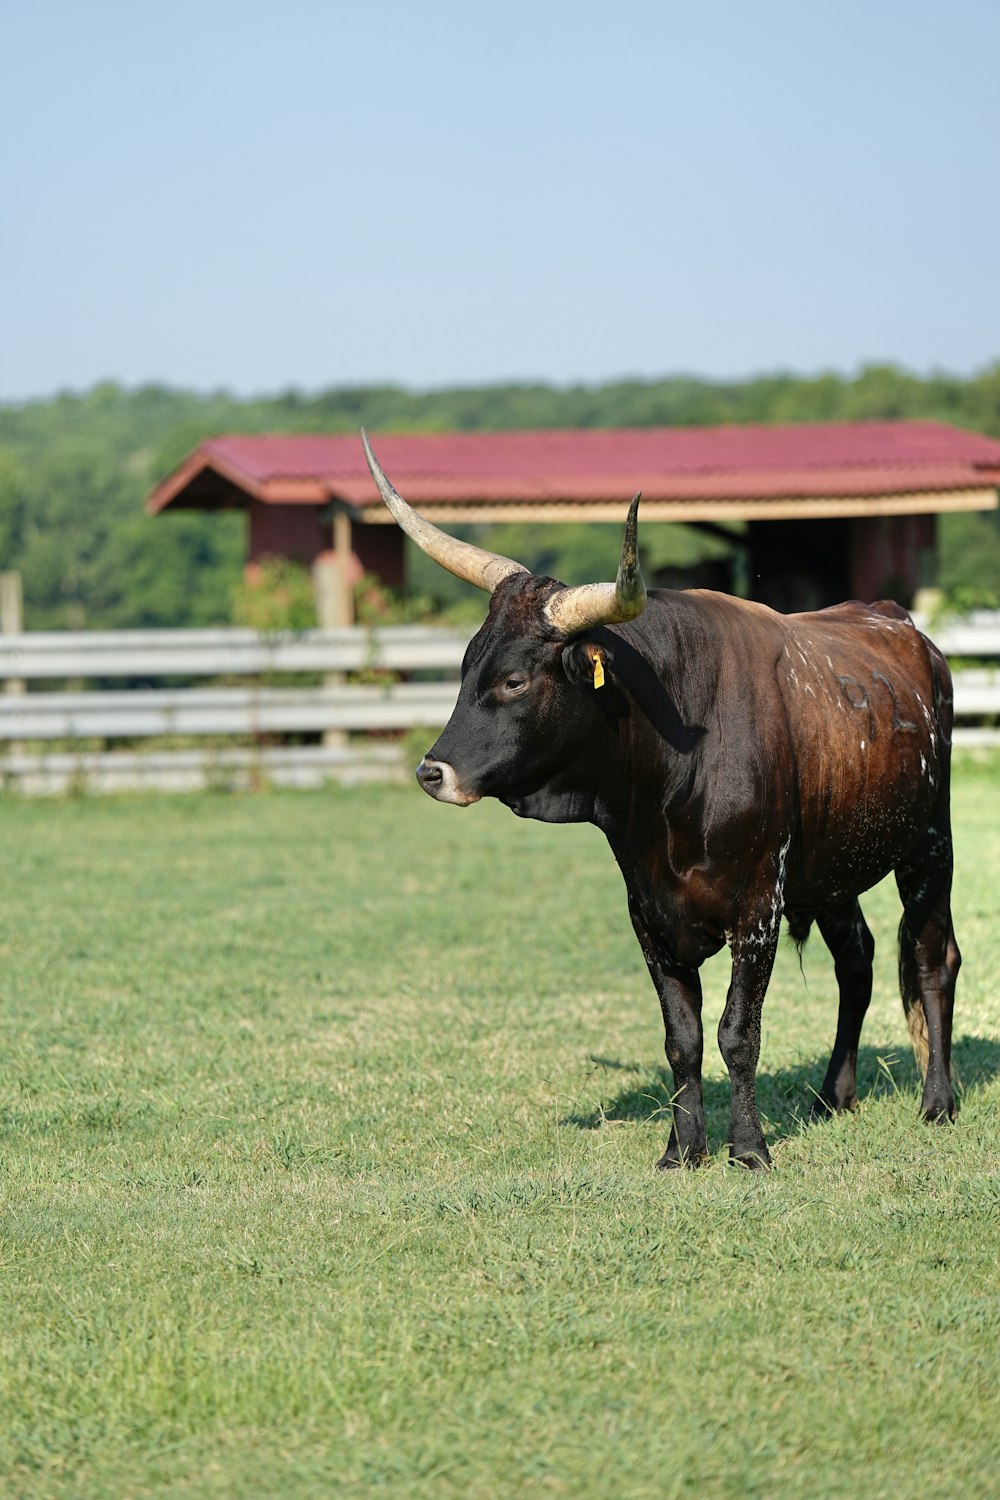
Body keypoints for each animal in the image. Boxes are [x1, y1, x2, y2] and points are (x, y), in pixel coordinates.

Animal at [361, 429, 959, 1164]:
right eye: (469, 666)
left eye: (514, 682)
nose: (431, 771)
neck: (668, 785)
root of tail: (907, 629)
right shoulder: (648, 913)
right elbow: (683, 1038)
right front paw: (682, 1151)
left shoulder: (757, 909)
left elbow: (737, 1033)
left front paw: (748, 1149)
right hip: (832, 870)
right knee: (859, 960)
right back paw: (831, 1096)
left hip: (928, 845)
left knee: (931, 959)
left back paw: (938, 1102)